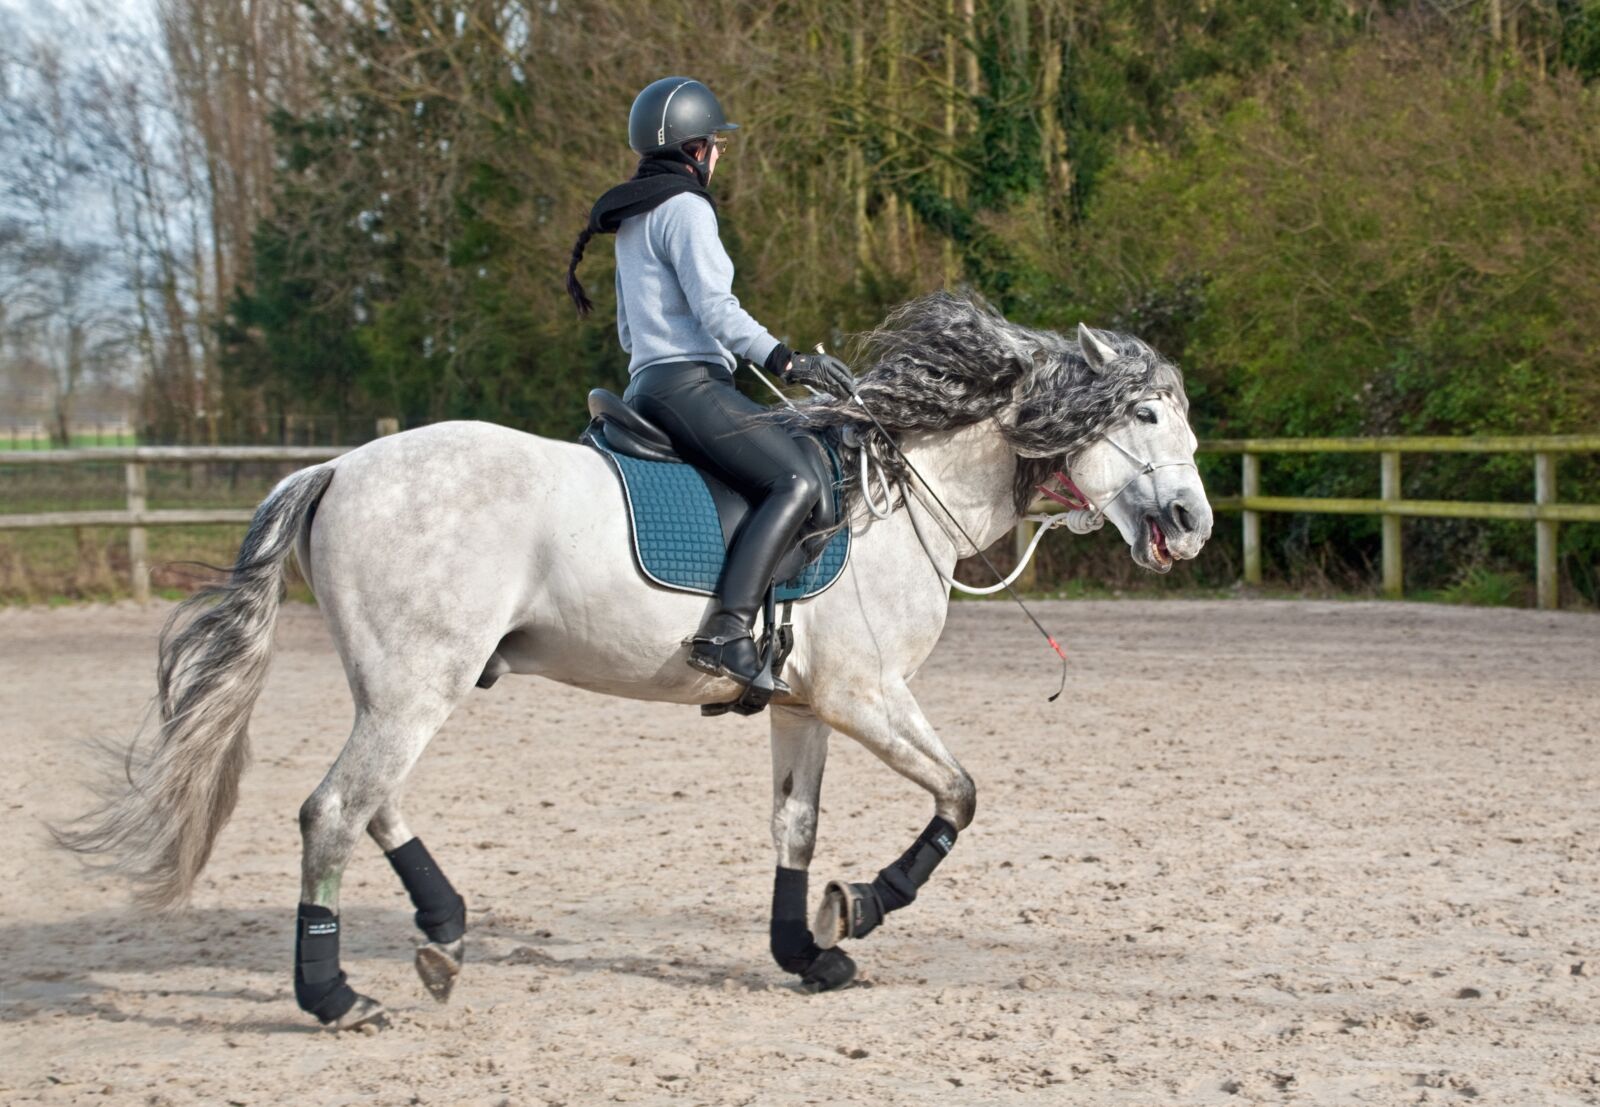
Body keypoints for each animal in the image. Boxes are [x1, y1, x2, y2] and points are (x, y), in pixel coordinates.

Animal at [56, 292, 1213, 1029]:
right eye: (1146, 413)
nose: (1195, 523)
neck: (901, 496)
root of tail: (338, 466)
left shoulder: (805, 706)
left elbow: (795, 829)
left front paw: (808, 950)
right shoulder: (867, 695)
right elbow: (962, 795)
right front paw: (866, 904)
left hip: (399, 685)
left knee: (373, 803)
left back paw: (443, 932)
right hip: (418, 684)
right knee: (334, 810)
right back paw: (336, 997)